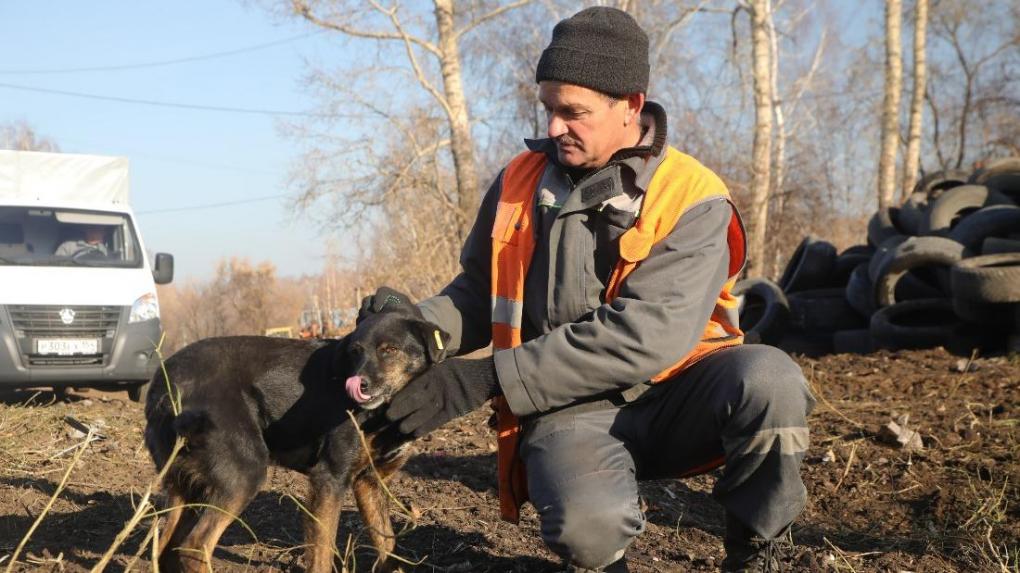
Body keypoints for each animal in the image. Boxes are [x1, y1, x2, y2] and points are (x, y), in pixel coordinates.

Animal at [143, 309, 446, 566]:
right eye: (355, 352)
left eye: (390, 350)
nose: (359, 385)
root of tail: (162, 383)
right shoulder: (329, 479)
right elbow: (322, 553)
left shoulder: (369, 483)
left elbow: (387, 548)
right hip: (243, 473)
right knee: (195, 546)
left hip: (189, 485)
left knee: (165, 549)